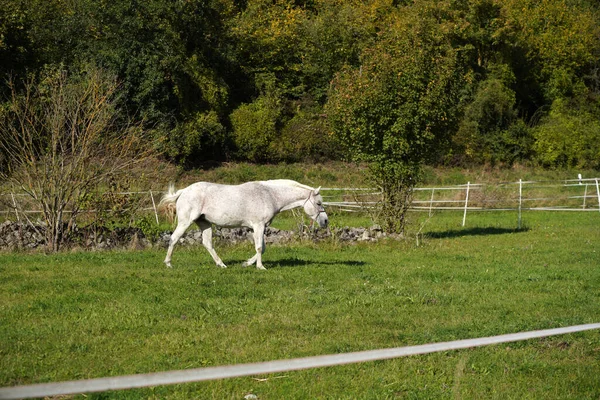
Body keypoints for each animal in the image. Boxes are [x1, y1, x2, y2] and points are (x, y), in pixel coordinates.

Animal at [157, 180, 328, 268]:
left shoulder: (260, 227)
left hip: (204, 223)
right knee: (174, 239)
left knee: (207, 243)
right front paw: (260, 267)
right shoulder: (258, 226)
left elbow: (262, 248)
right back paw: (168, 264)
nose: (325, 221)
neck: (270, 195)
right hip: (185, 222)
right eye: (319, 203)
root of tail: (183, 191)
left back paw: (221, 264)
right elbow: (259, 247)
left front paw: (246, 263)